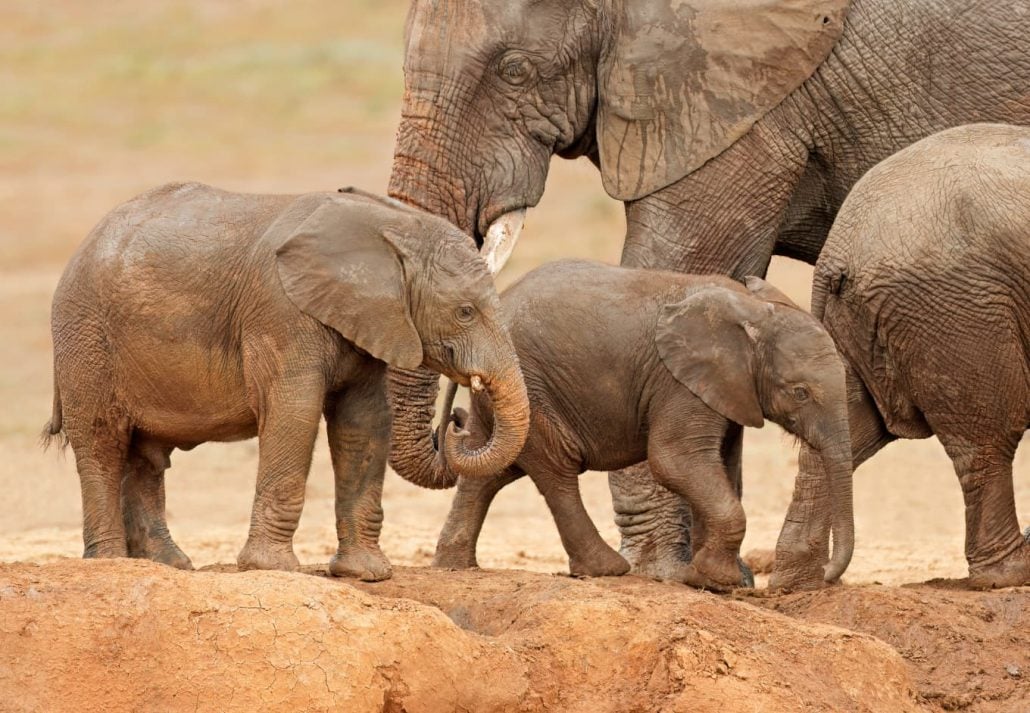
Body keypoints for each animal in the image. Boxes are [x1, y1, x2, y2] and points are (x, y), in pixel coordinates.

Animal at [46, 182, 531, 581]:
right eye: (465, 312)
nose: (456, 421)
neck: (387, 227)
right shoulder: (281, 312)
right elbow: (294, 413)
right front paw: (271, 568)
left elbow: (364, 423)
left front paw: (366, 574)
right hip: (86, 338)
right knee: (102, 443)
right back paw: (112, 563)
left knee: (146, 455)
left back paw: (168, 564)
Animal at [434, 258, 852, 589]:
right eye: (800, 392)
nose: (828, 575)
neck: (755, 311)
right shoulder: (679, 383)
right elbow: (674, 460)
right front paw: (718, 577)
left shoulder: (726, 390)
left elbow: (721, 464)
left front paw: (710, 578)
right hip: (530, 388)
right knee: (557, 468)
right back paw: (606, 569)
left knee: (492, 468)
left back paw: (455, 566)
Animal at [774, 124, 1030, 589]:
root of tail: (836, 253)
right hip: (955, 313)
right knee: (988, 437)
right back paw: (1011, 574)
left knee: (847, 428)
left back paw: (799, 584)